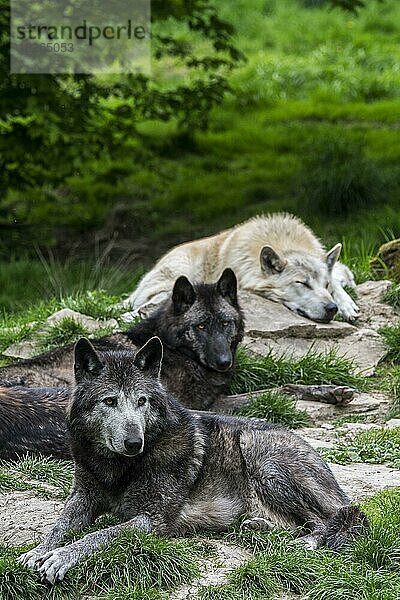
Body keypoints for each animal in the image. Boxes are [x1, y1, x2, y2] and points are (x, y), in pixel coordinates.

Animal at [18, 336, 368, 584]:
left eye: (142, 401)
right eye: (110, 401)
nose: (134, 442)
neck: (118, 467)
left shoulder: (151, 520)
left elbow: (98, 536)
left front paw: (60, 557)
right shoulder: (84, 497)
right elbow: (59, 525)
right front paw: (36, 551)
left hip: (261, 458)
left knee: (334, 519)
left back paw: (302, 544)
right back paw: (260, 527)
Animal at [128, 212, 360, 324]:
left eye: (325, 285)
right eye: (302, 283)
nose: (332, 308)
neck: (284, 242)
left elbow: (340, 284)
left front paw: (347, 305)